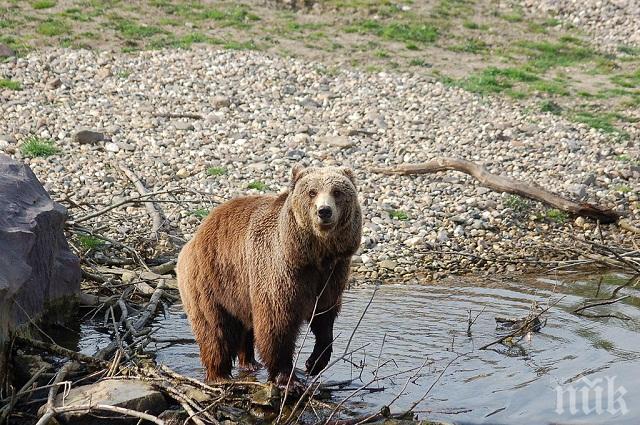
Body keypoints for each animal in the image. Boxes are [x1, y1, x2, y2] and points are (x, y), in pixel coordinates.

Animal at [178, 164, 362, 382]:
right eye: (312, 192)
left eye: (337, 192)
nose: (324, 211)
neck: (313, 254)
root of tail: (194, 237)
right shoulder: (280, 271)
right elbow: (276, 323)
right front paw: (287, 377)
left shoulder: (332, 275)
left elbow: (324, 317)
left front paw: (314, 363)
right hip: (211, 281)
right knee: (215, 331)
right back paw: (219, 374)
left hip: (240, 290)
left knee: (245, 326)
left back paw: (249, 362)